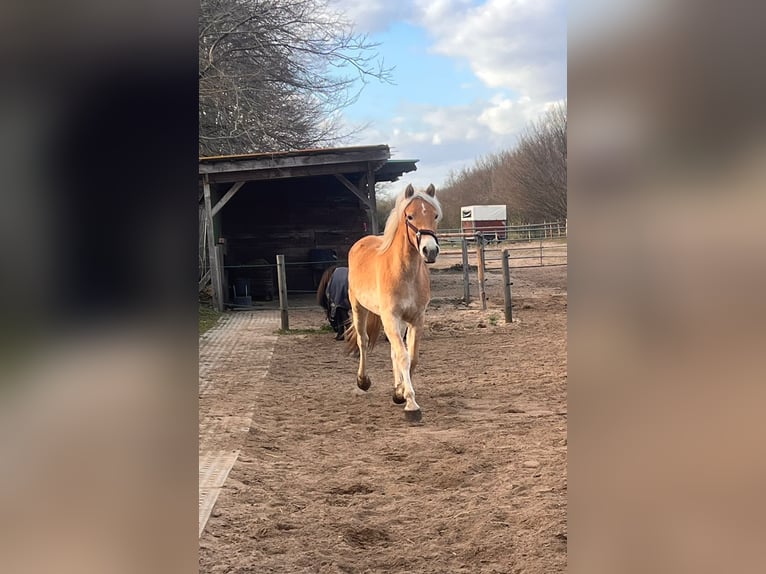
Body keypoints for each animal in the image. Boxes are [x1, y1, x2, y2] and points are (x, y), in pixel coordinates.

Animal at [344, 183, 442, 422]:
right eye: (410, 216)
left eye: (434, 215)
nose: (430, 250)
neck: (405, 272)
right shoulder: (390, 317)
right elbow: (403, 356)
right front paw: (411, 405)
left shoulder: (416, 319)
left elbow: (411, 357)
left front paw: (400, 393)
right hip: (359, 308)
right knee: (362, 341)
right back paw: (363, 381)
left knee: (393, 352)